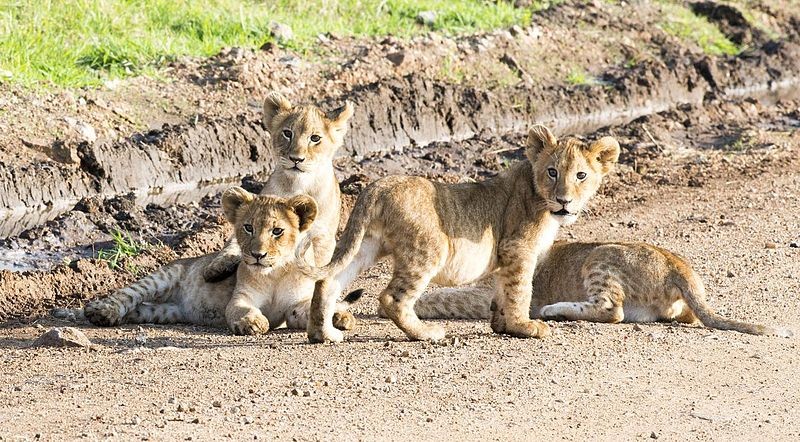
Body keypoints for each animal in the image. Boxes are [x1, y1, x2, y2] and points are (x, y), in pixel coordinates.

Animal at [77, 188, 359, 334]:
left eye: (277, 231)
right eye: (248, 227)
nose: (257, 255)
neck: (275, 274)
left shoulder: (293, 306)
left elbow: (309, 309)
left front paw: (339, 316)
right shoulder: (241, 298)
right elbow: (242, 310)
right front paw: (253, 322)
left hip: (164, 312)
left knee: (139, 309)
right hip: (163, 276)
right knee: (128, 294)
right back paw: (100, 311)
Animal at [201, 92, 353, 283]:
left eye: (315, 138)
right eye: (287, 133)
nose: (296, 159)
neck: (299, 184)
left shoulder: (323, 237)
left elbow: (318, 266)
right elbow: (232, 243)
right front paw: (216, 266)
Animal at [296, 125, 620, 343]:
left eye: (581, 175)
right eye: (552, 172)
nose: (564, 200)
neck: (539, 197)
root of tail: (377, 186)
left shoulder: (506, 255)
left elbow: (503, 291)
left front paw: (501, 325)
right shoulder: (518, 248)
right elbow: (520, 290)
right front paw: (524, 326)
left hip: (366, 245)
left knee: (328, 281)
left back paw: (323, 334)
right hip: (428, 249)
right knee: (391, 298)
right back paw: (426, 333)